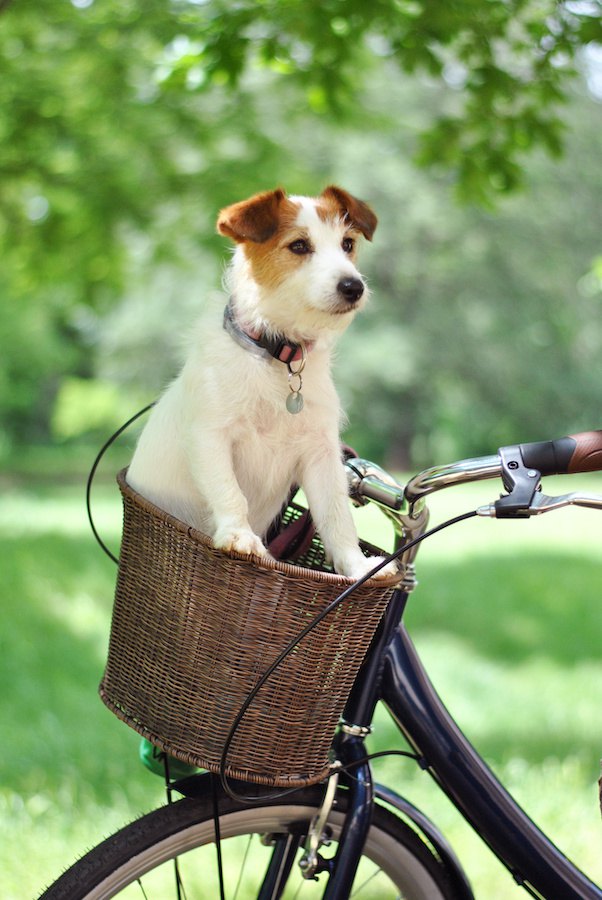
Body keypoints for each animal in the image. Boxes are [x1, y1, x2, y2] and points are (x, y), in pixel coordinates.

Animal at [125, 185, 394, 580]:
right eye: (299, 245)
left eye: (347, 244)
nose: (353, 287)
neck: (277, 356)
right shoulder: (210, 435)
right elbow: (229, 490)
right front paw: (238, 535)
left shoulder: (321, 454)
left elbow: (336, 514)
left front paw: (357, 566)